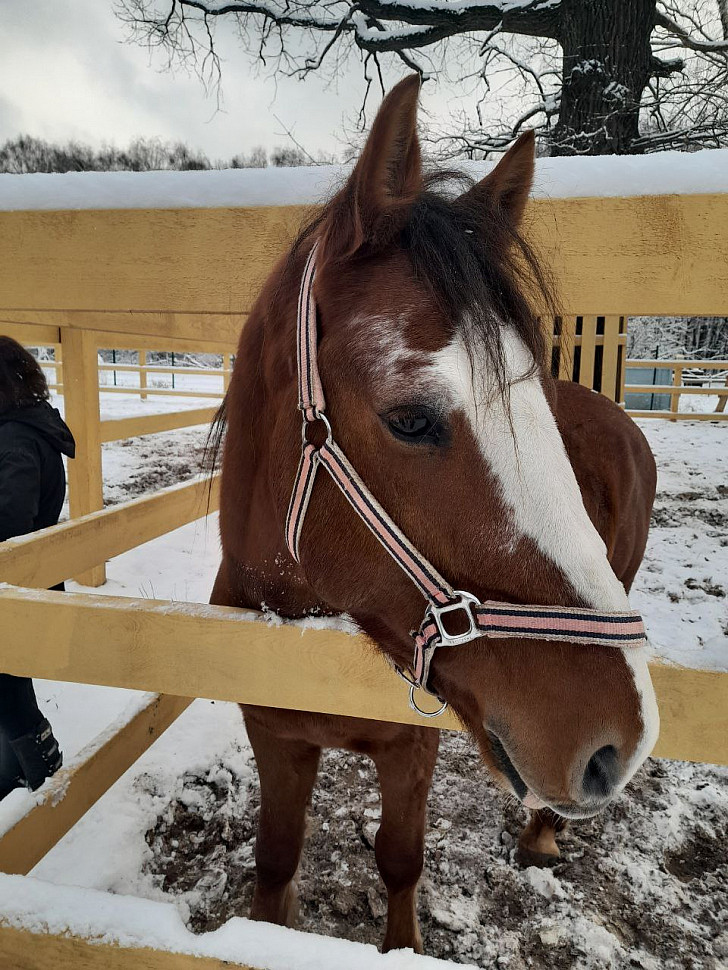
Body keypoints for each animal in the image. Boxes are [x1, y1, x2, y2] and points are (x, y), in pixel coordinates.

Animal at [212, 75, 660, 952]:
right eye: (412, 419)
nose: (618, 743)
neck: (299, 637)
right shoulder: (274, 737)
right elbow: (276, 861)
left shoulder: (409, 751)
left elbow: (398, 862)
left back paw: (541, 833)